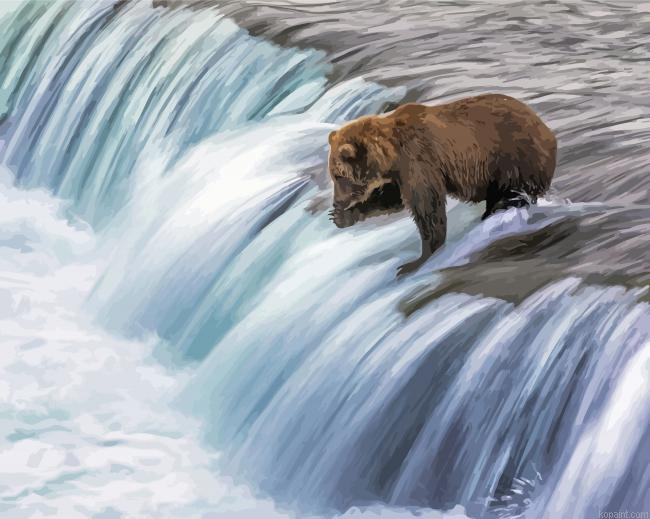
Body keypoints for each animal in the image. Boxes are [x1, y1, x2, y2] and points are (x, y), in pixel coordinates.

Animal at [327, 93, 557, 276]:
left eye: (339, 176)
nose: (337, 202)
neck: (390, 156)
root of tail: (547, 130)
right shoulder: (399, 176)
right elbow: (391, 199)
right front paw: (341, 216)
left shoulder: (419, 161)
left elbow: (427, 208)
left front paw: (418, 260)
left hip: (514, 160)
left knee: (511, 192)